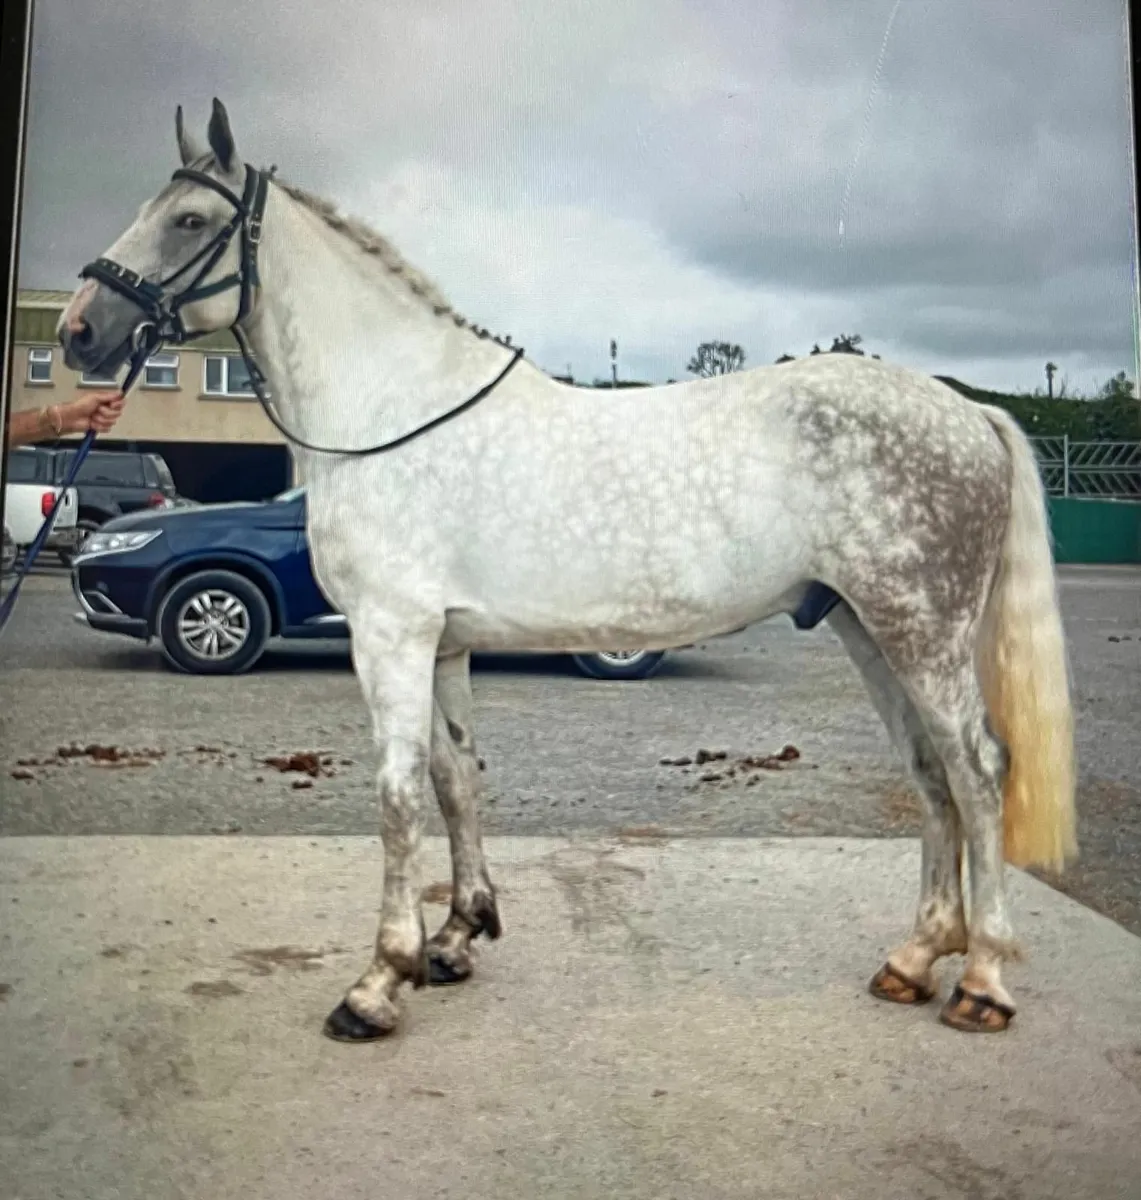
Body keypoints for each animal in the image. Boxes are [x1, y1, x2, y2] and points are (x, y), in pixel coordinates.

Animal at [58, 99, 1077, 1042]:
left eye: (189, 219)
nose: (76, 332)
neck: (393, 411)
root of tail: (966, 410)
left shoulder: (390, 635)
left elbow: (397, 798)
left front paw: (378, 982)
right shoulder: (442, 645)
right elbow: (454, 778)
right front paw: (457, 938)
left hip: (921, 629)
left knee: (977, 770)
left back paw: (982, 981)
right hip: (868, 628)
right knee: (930, 772)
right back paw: (913, 960)